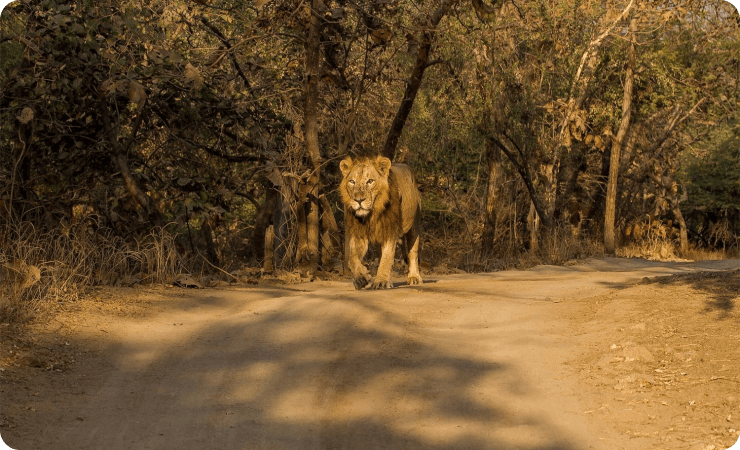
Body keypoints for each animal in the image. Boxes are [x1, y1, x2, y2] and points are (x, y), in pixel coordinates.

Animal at [340, 155, 422, 288]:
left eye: (370, 181)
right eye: (352, 181)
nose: (359, 200)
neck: (372, 214)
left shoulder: (390, 230)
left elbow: (387, 257)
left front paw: (381, 282)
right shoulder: (359, 234)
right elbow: (352, 259)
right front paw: (362, 278)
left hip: (414, 225)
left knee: (412, 252)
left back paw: (414, 277)